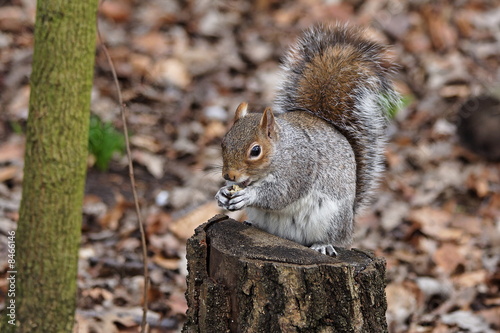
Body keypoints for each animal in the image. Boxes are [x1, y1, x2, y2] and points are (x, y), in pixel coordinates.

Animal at [214, 24, 398, 255]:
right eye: (224, 143)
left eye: (255, 151)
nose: (228, 175)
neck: (282, 150)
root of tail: (349, 224)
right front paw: (222, 193)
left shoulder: (299, 167)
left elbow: (281, 193)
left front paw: (248, 195)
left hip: (331, 218)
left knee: (332, 237)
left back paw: (323, 245)